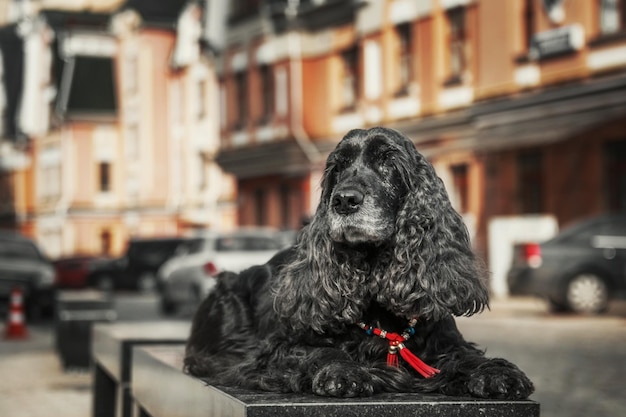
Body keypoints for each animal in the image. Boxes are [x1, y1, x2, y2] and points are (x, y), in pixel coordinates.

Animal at [185, 127, 532, 400]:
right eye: (338, 167)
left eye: (388, 161)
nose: (344, 200)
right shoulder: (275, 351)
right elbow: (321, 351)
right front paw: (346, 371)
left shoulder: (445, 341)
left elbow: (466, 357)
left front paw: (497, 372)